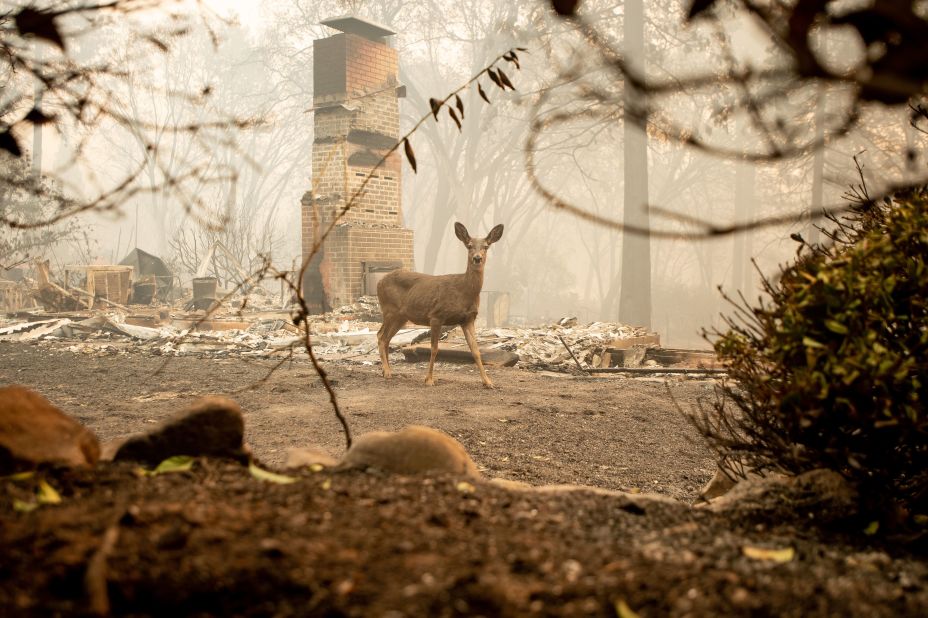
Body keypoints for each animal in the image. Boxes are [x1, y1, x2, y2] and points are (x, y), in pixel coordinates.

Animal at [376, 220, 508, 384]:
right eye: (469, 245)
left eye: (486, 246)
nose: (477, 258)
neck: (464, 291)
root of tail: (379, 282)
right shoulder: (436, 315)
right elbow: (434, 349)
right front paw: (429, 379)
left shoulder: (468, 319)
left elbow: (476, 351)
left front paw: (488, 382)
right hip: (389, 310)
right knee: (381, 336)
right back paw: (387, 372)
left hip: (401, 316)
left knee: (386, 338)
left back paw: (387, 371)